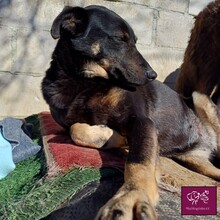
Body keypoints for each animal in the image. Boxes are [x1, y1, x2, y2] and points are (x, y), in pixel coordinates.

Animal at [41, 4, 220, 218]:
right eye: (120, 39)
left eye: (134, 41)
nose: (153, 75)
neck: (87, 81)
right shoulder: (65, 122)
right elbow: (75, 130)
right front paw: (113, 137)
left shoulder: (142, 121)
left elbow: (139, 160)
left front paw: (132, 195)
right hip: (196, 160)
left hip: (199, 97)